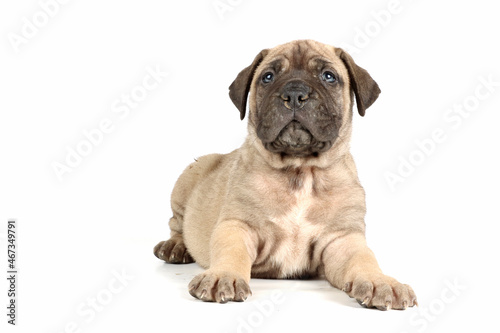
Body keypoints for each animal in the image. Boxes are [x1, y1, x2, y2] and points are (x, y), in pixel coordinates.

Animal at [153, 40, 418, 310]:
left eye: (328, 76)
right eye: (268, 77)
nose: (294, 95)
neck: (300, 171)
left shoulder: (342, 239)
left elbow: (364, 259)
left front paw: (380, 282)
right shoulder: (238, 225)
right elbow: (231, 251)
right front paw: (223, 276)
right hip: (186, 180)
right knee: (177, 223)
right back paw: (175, 246)